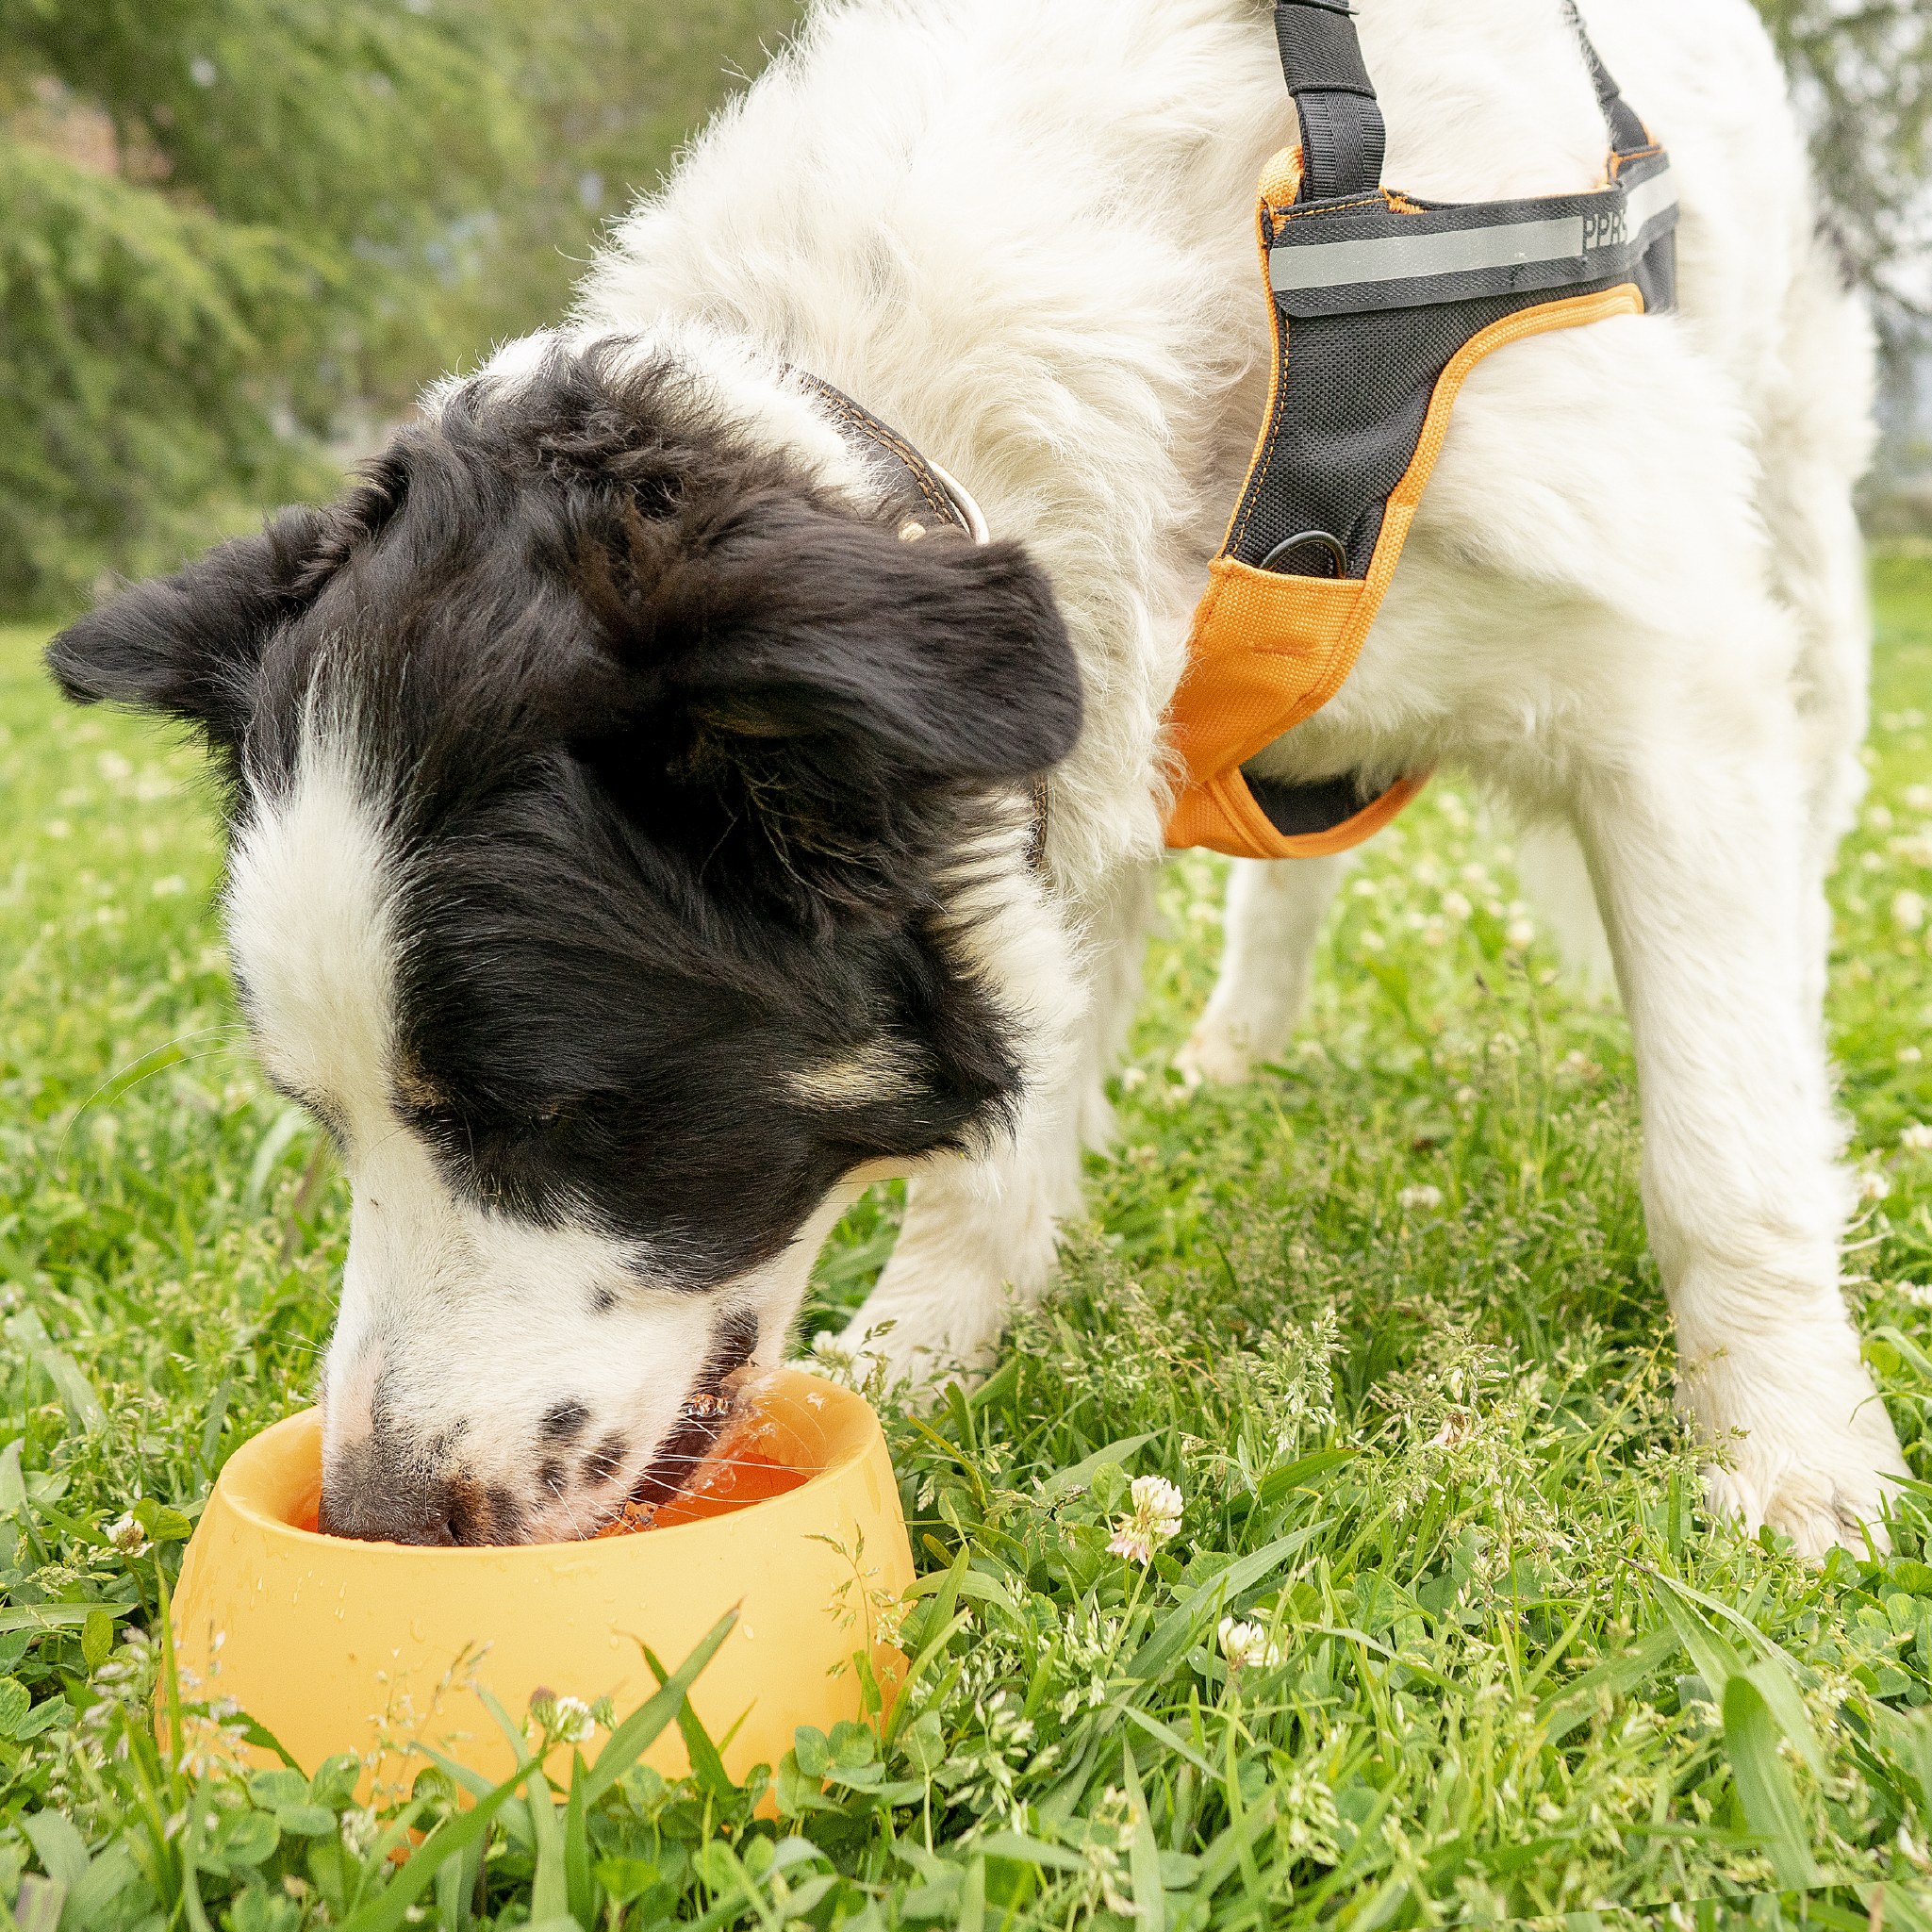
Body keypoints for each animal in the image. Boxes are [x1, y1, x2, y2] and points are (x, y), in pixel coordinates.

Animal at [45, 0, 1901, 1553]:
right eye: (322, 1119)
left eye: (554, 1116)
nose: (372, 1521)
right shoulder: (1081, 720)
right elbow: (1009, 1111)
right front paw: (925, 1348)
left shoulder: (1663, 686)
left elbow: (1718, 1143)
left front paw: (1792, 1449)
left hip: (1802, 537)